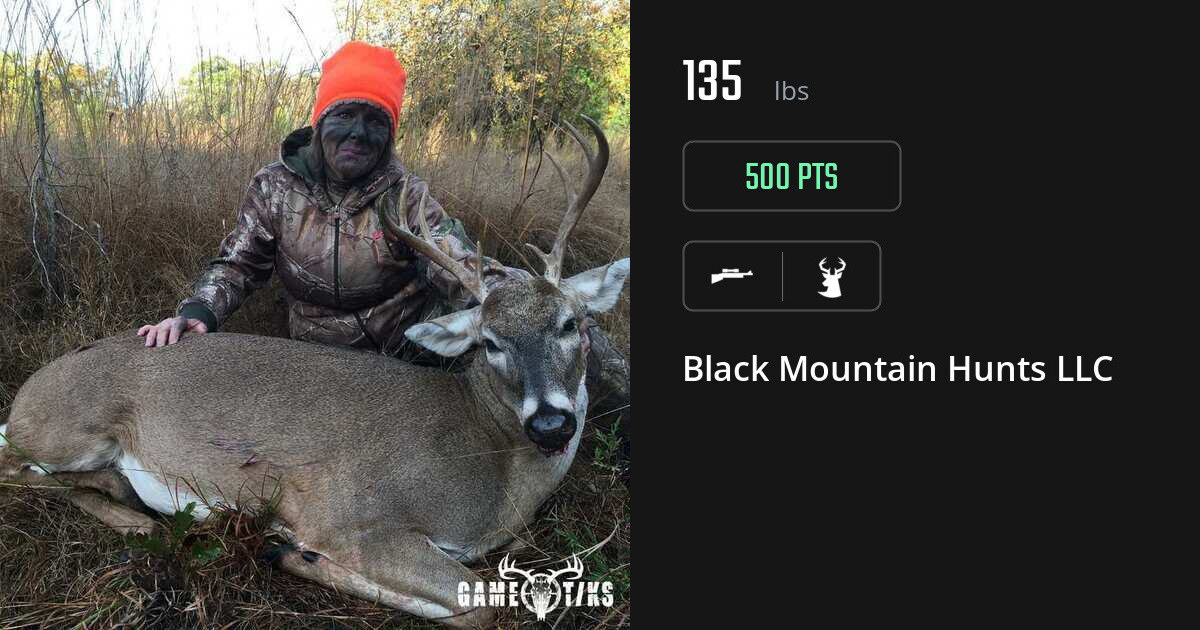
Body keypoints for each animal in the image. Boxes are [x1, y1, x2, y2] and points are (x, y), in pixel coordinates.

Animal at [0, 118, 627, 628]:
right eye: (490, 343)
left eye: (573, 324)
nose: (551, 423)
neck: (495, 464)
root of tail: (29, 389)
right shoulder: (355, 515)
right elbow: (482, 604)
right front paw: (288, 548)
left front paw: (287, 550)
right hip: (69, 428)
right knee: (17, 467)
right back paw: (134, 510)